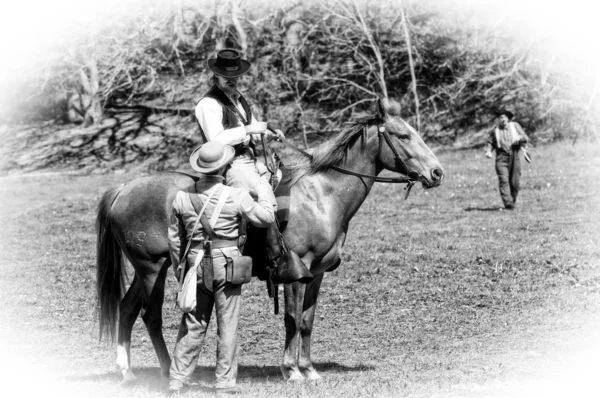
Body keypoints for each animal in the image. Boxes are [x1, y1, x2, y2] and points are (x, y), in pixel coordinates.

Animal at [96, 99, 442, 382]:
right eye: (402, 136)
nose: (437, 173)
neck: (321, 194)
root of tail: (124, 189)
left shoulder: (316, 274)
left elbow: (307, 321)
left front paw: (309, 369)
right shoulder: (295, 272)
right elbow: (292, 320)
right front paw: (292, 371)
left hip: (148, 270)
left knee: (127, 309)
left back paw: (128, 372)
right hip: (152, 268)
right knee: (149, 314)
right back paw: (167, 371)